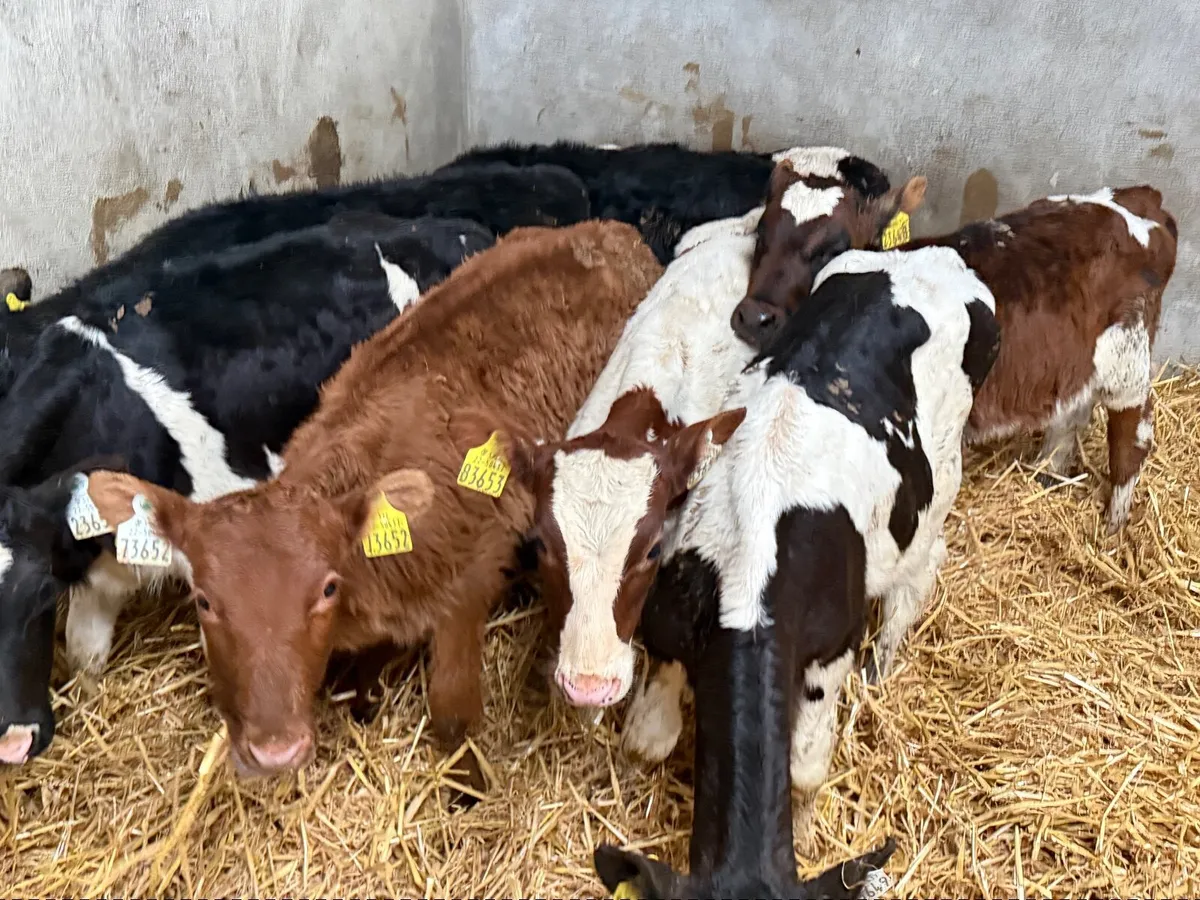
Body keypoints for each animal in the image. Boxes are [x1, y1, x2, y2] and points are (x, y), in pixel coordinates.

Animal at [77, 221, 664, 782]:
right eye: (203, 601)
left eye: (326, 588)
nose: (275, 752)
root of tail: (608, 231)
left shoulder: (468, 585)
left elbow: (453, 716)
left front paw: (469, 787)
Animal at [734, 181, 1178, 534]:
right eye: (761, 235)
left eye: (833, 246)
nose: (754, 317)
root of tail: (1142, 199)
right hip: (1077, 360)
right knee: (1070, 412)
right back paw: (1047, 473)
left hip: (1129, 362)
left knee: (1133, 439)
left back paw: (1113, 527)